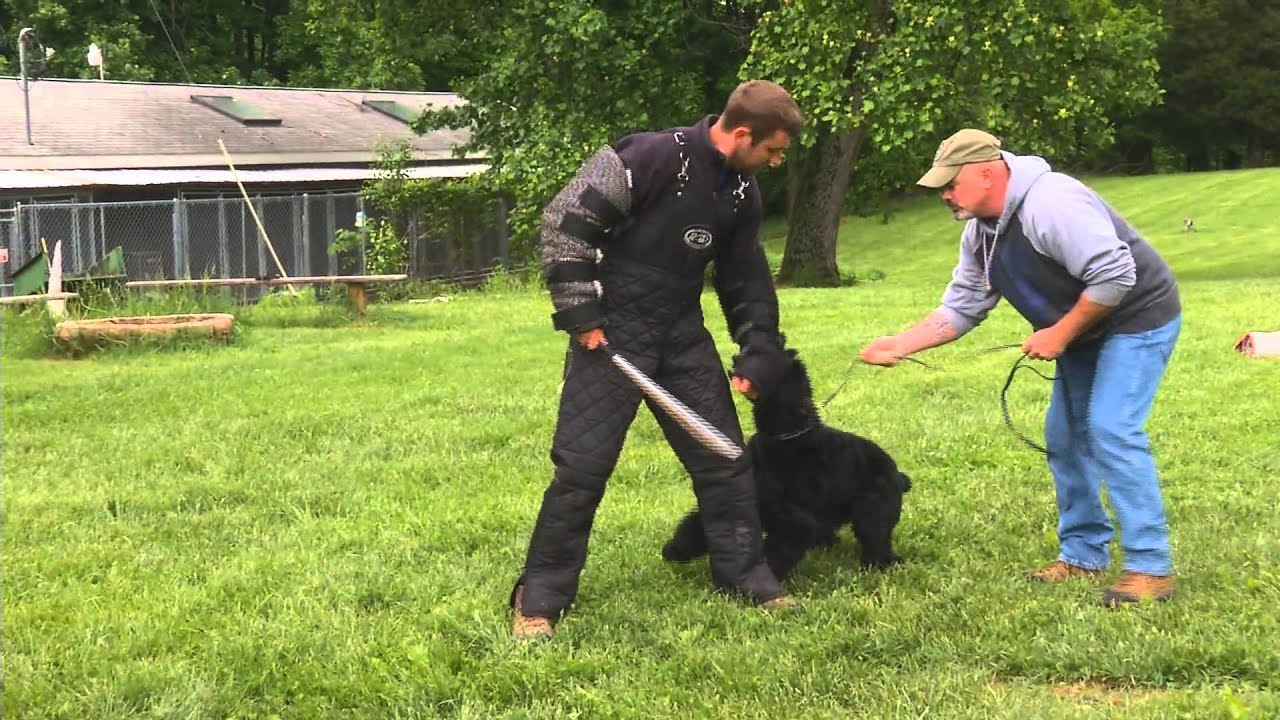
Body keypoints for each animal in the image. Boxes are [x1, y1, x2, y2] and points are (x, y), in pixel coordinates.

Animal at [660, 351, 911, 579]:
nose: (736, 359)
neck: (785, 439)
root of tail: (897, 474)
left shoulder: (794, 522)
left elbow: (778, 550)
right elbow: (700, 523)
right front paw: (676, 549)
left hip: (873, 509)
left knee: (875, 536)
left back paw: (879, 564)